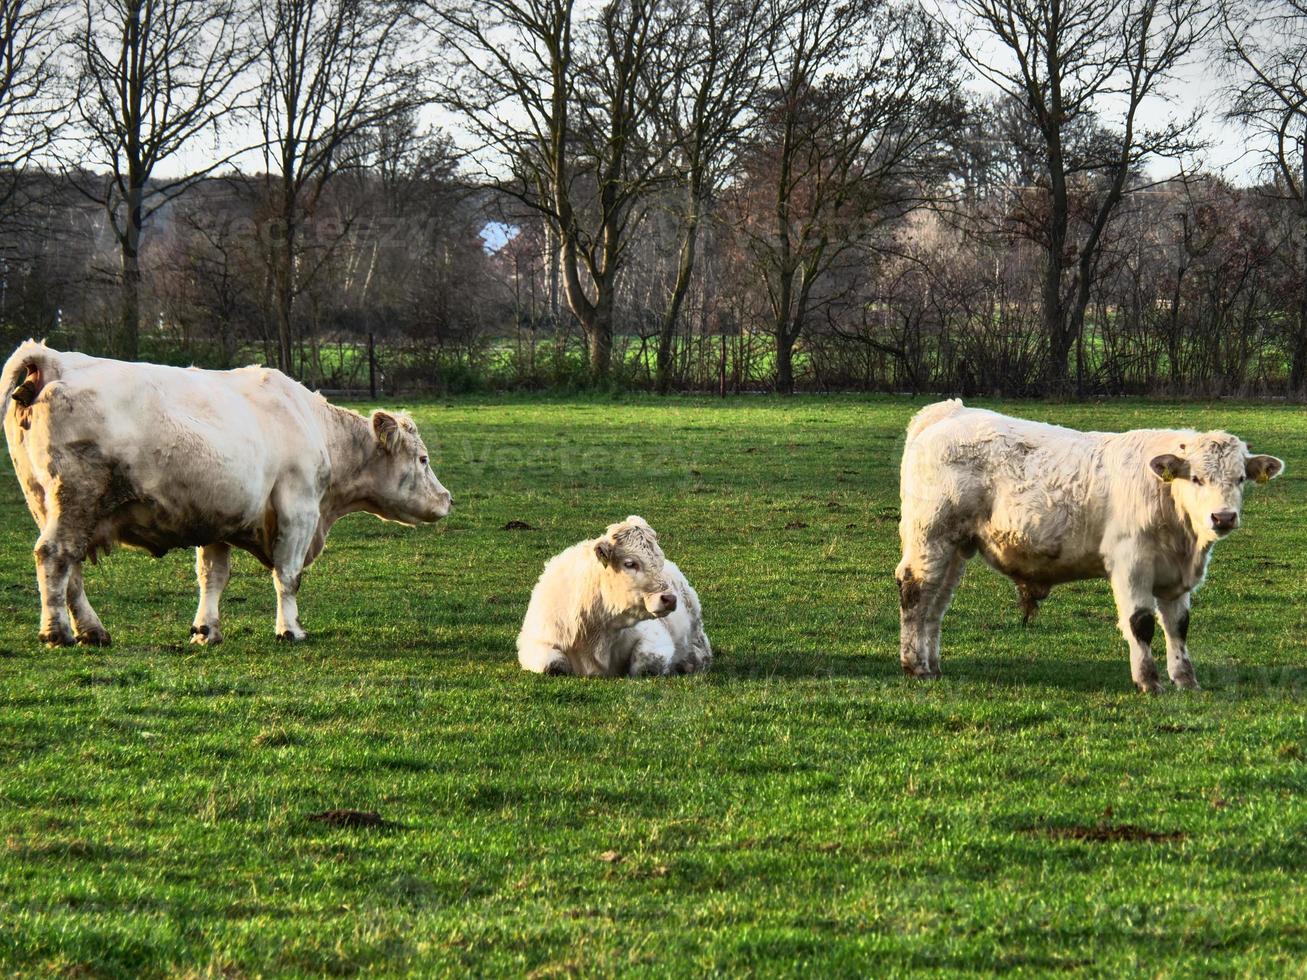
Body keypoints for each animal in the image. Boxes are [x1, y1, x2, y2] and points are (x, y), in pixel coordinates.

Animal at [2, 342, 454, 648]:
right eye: (423, 459)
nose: (447, 498)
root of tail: (54, 358)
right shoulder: (298, 510)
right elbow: (288, 576)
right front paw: (290, 629)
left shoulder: (216, 520)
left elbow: (212, 576)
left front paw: (206, 630)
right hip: (76, 499)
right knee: (55, 556)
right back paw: (57, 632)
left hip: (48, 504)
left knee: (71, 568)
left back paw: (92, 630)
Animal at [512, 517, 716, 679]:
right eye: (630, 563)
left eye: (659, 562)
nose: (670, 599)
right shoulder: (534, 641)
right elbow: (553, 665)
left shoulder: (656, 637)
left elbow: (647, 665)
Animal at [899, 402, 1286, 695]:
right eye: (1196, 478)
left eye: (1240, 478)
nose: (1223, 517)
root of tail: (950, 411)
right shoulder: (1132, 564)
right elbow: (1141, 622)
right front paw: (1148, 680)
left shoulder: (1175, 576)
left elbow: (1178, 626)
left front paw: (1185, 679)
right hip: (930, 535)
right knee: (915, 591)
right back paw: (915, 665)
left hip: (955, 546)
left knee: (937, 603)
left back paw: (932, 664)